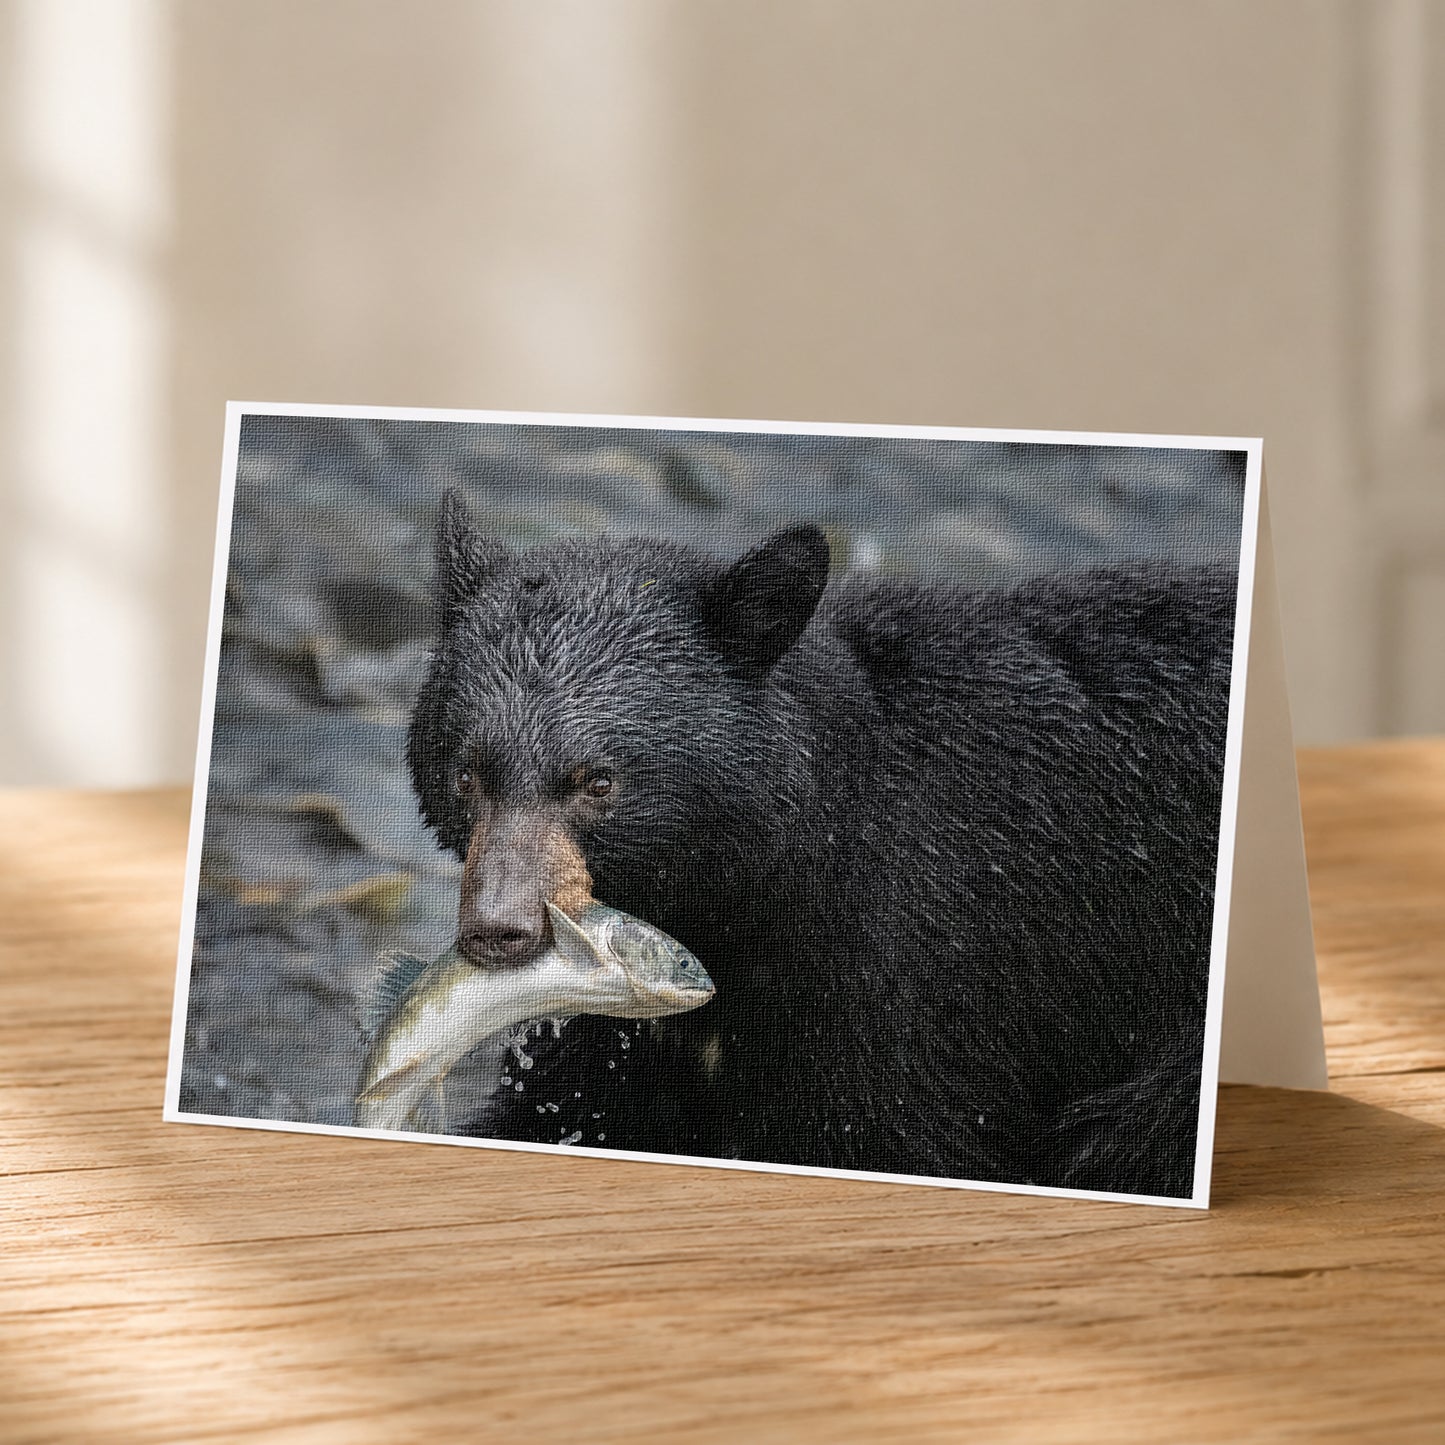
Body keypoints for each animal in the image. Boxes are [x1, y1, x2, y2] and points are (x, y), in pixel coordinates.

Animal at [406, 489, 1235, 1198]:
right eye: (466, 773)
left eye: (597, 781)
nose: (499, 930)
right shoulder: (622, 1020)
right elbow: (567, 1107)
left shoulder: (908, 982)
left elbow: (883, 1129)